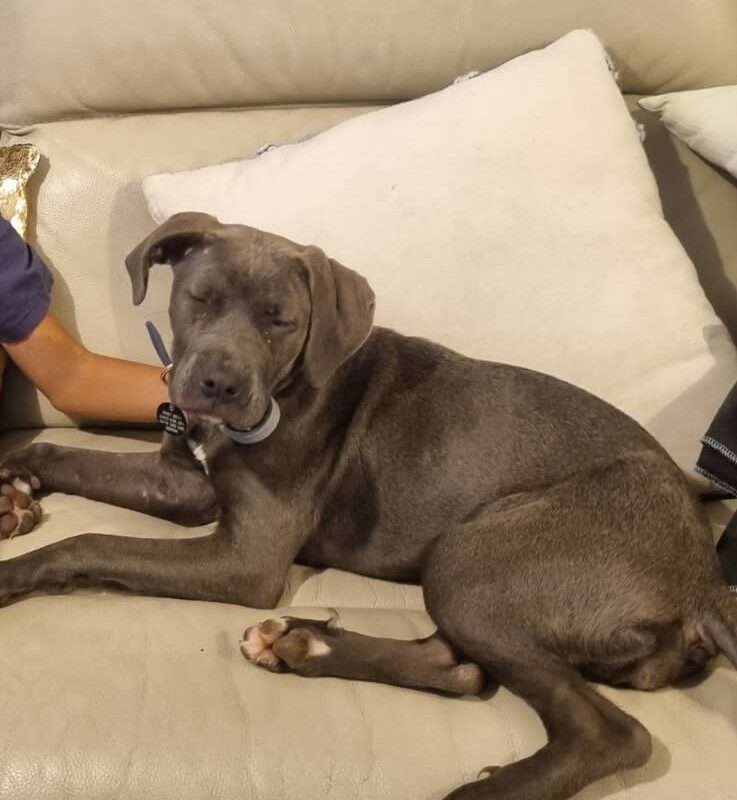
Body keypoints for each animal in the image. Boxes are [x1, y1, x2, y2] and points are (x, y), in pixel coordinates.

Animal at [1, 211, 735, 800]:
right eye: (197, 299)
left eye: (281, 321)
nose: (216, 384)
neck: (284, 391)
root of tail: (702, 587)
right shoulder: (182, 484)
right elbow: (59, 454)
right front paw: (14, 486)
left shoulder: (245, 560)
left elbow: (92, 542)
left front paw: (12, 571)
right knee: (460, 666)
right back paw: (304, 645)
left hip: (473, 558)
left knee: (609, 732)